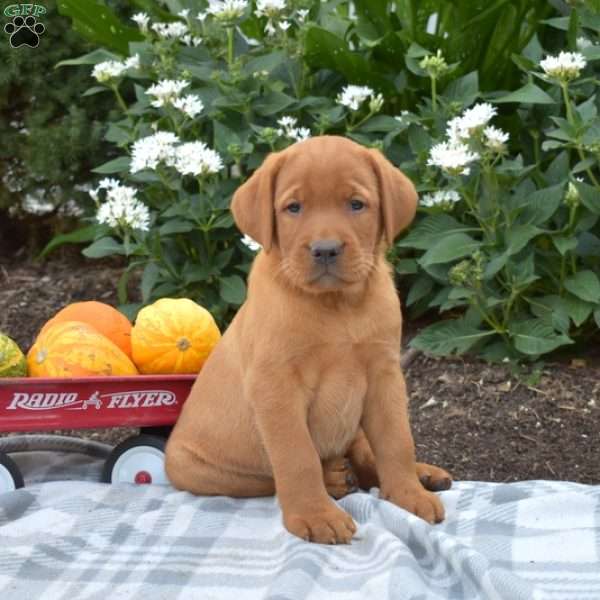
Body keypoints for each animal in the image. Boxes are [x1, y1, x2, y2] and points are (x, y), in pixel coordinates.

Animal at [164, 135, 450, 544]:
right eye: (293, 207)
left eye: (356, 204)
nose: (325, 249)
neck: (337, 307)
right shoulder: (275, 386)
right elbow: (296, 457)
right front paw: (315, 515)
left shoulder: (385, 375)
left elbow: (397, 441)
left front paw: (408, 494)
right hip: (193, 468)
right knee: (271, 478)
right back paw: (332, 482)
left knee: (364, 456)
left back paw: (420, 475)